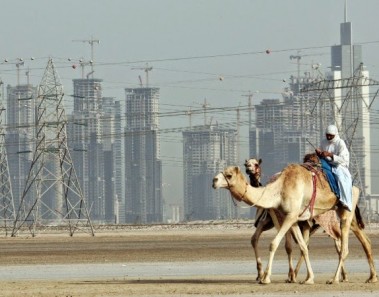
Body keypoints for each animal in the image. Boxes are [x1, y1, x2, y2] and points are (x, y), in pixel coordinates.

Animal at [212, 163, 378, 284]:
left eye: (229, 175)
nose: (214, 180)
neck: (279, 189)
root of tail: (356, 187)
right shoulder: (292, 219)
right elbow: (303, 247)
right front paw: (309, 278)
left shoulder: (290, 216)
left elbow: (274, 244)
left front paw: (266, 278)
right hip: (345, 212)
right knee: (364, 240)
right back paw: (371, 277)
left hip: (345, 211)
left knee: (343, 247)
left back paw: (334, 279)